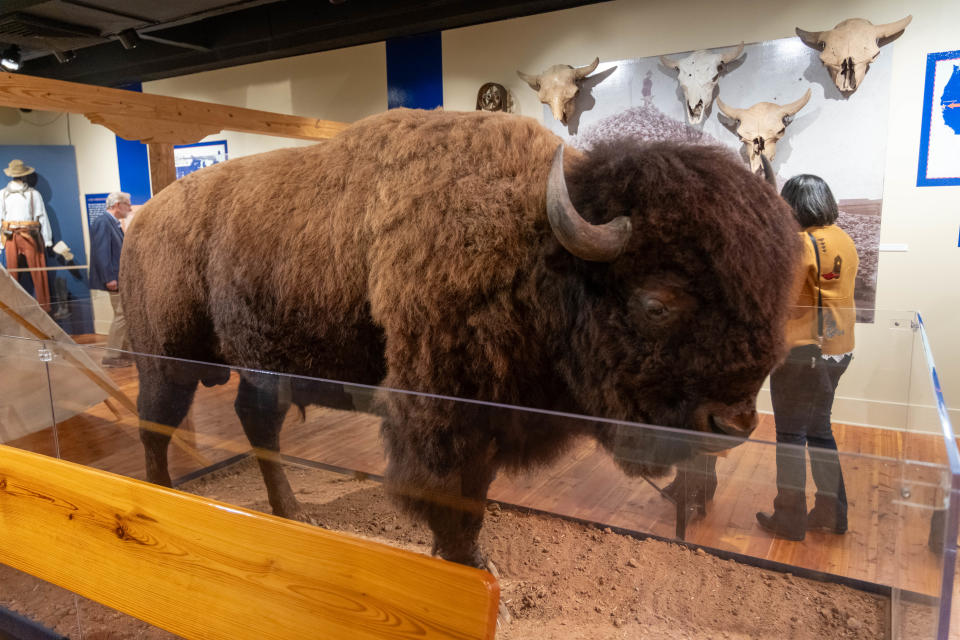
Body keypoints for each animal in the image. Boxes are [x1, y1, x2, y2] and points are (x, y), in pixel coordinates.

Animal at [125, 107, 804, 568]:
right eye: (655, 302)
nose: (733, 424)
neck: (533, 248)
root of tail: (144, 217)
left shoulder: (491, 418)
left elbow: (476, 497)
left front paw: (475, 560)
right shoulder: (443, 415)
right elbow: (451, 496)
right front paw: (459, 564)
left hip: (266, 367)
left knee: (254, 421)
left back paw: (290, 512)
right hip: (167, 358)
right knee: (155, 423)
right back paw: (159, 500)